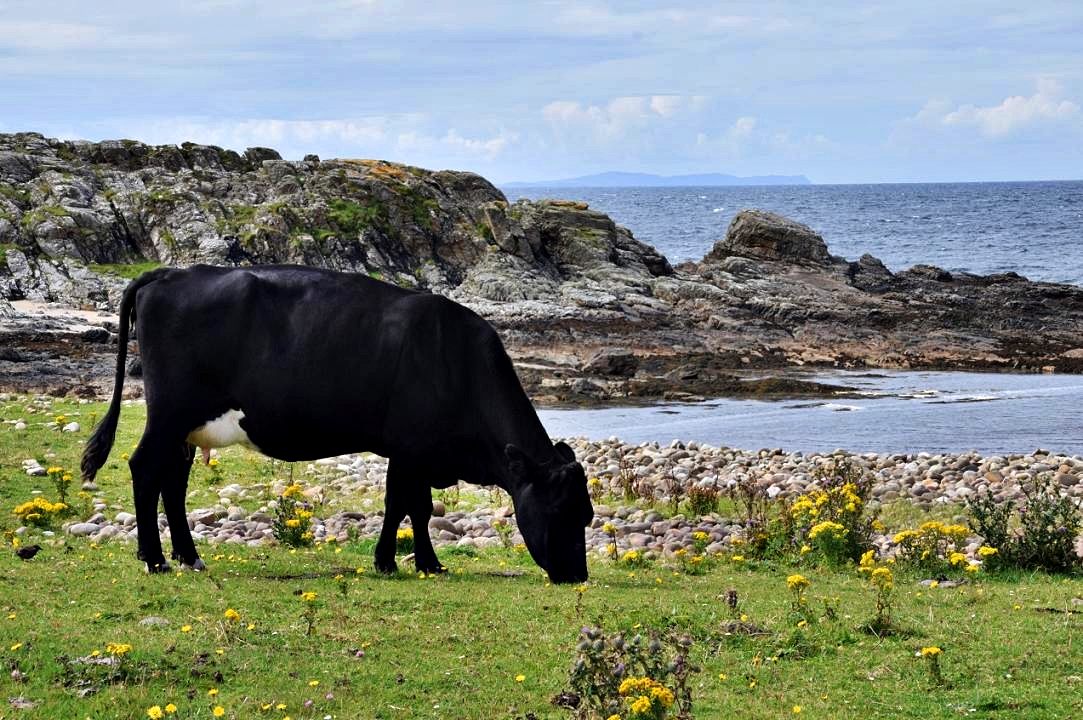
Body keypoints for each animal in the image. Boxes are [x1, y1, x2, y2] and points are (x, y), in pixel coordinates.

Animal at [81, 264, 597, 584]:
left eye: (588, 515)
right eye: (559, 510)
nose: (578, 574)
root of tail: (171, 273)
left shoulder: (401, 450)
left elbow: (395, 506)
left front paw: (387, 562)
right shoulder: (413, 448)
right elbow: (418, 507)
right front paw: (427, 564)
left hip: (187, 428)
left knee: (172, 483)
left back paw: (189, 556)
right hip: (169, 414)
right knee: (145, 470)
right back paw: (155, 560)